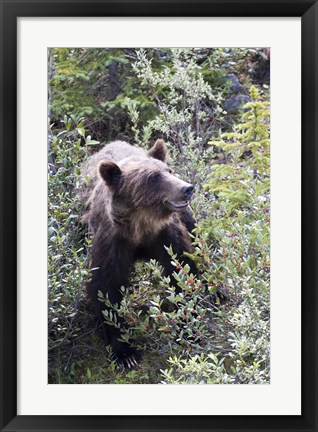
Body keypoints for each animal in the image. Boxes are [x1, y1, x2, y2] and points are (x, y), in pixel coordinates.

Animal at [80, 139, 196, 368]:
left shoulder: (164, 234)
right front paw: (126, 353)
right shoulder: (111, 242)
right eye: (153, 177)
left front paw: (189, 321)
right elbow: (107, 289)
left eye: (168, 170)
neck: (139, 227)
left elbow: (181, 266)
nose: (186, 188)